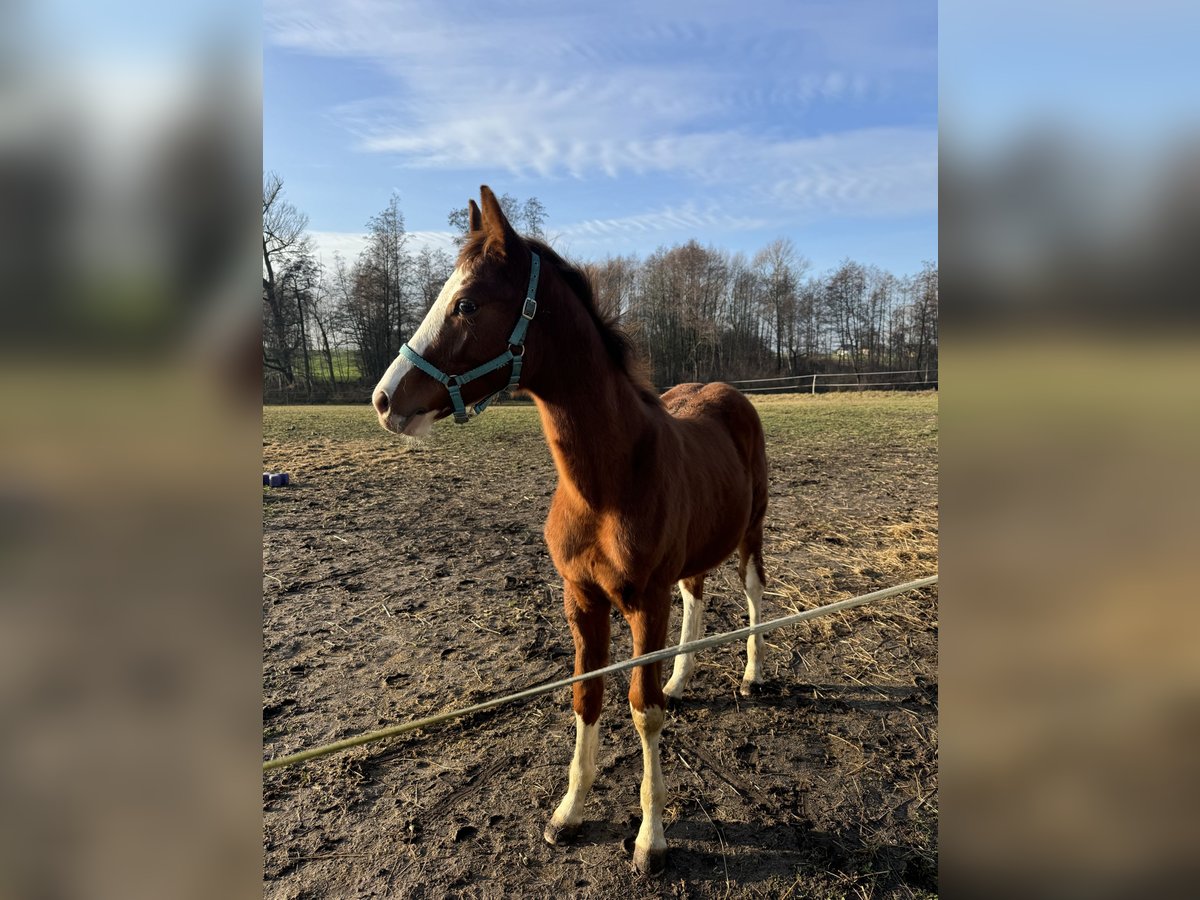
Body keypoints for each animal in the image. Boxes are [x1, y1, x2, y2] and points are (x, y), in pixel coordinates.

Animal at [372, 188, 768, 873]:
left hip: (751, 533)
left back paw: (751, 675)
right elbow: (588, 697)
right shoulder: (582, 599)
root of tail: (729, 393)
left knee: (751, 592)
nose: (384, 399)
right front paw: (567, 815)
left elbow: (642, 711)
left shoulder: (644, 603)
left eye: (467, 303)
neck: (606, 487)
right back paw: (682, 678)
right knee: (696, 595)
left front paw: (650, 839)